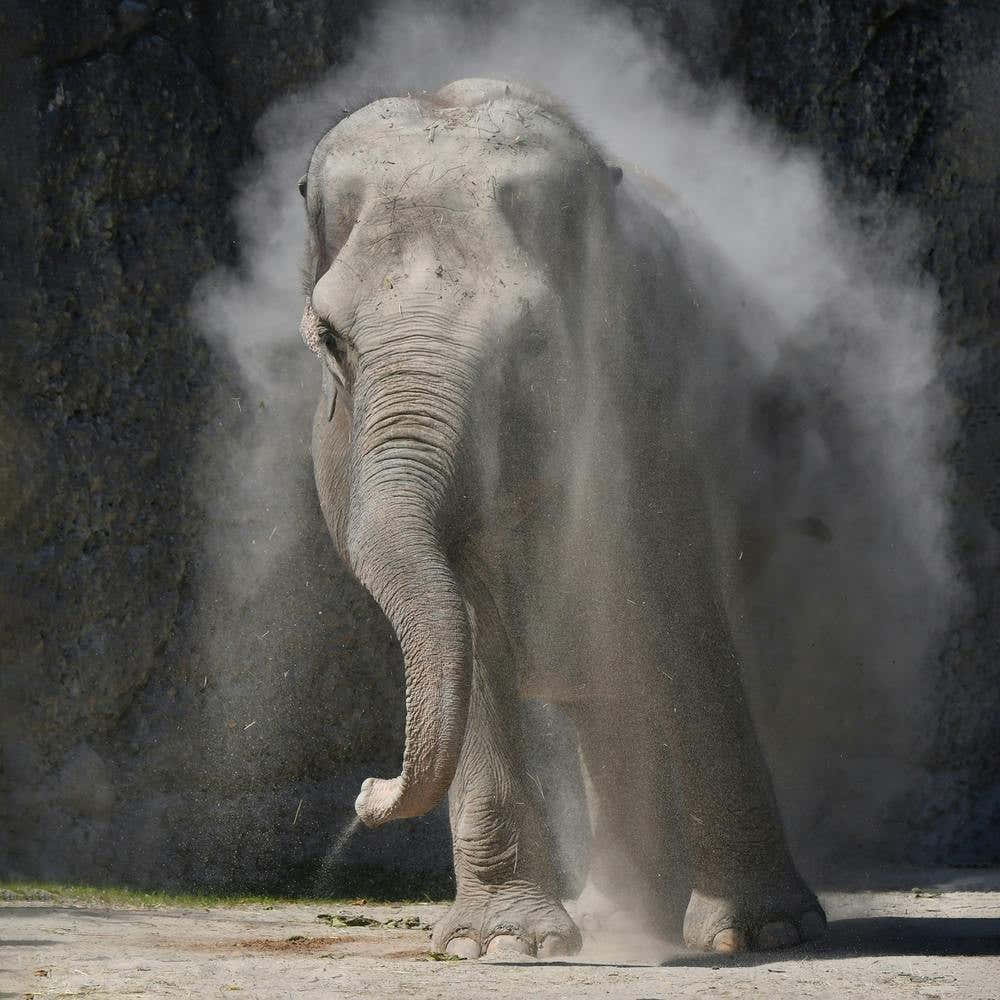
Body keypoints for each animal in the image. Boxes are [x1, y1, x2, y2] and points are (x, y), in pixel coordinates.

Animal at [297, 77, 826, 958]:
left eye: (532, 343)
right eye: (329, 337)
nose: (367, 793)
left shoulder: (649, 409)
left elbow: (685, 614)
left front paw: (766, 934)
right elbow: (470, 625)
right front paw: (500, 945)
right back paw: (612, 918)